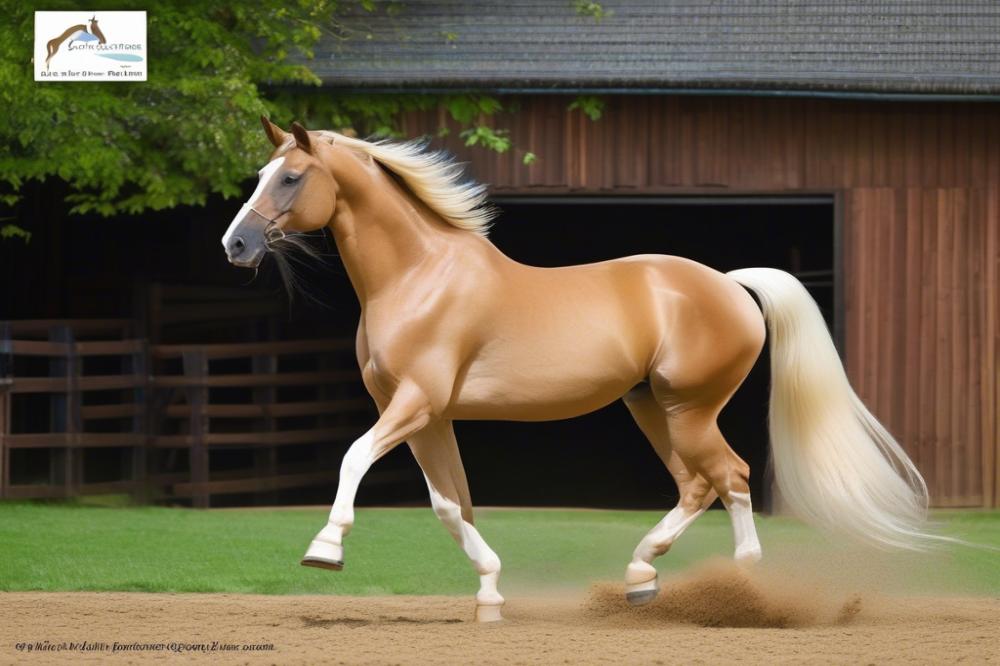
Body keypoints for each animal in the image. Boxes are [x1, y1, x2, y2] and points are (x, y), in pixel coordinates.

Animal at [223, 116, 932, 620]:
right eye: (262, 172)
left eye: (290, 178)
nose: (236, 244)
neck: (419, 277)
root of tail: (730, 283)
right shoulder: (425, 415)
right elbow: (451, 505)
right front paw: (490, 593)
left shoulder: (413, 403)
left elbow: (353, 459)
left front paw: (325, 549)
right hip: (650, 406)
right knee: (696, 486)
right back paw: (642, 579)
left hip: (690, 408)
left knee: (729, 477)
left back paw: (742, 591)